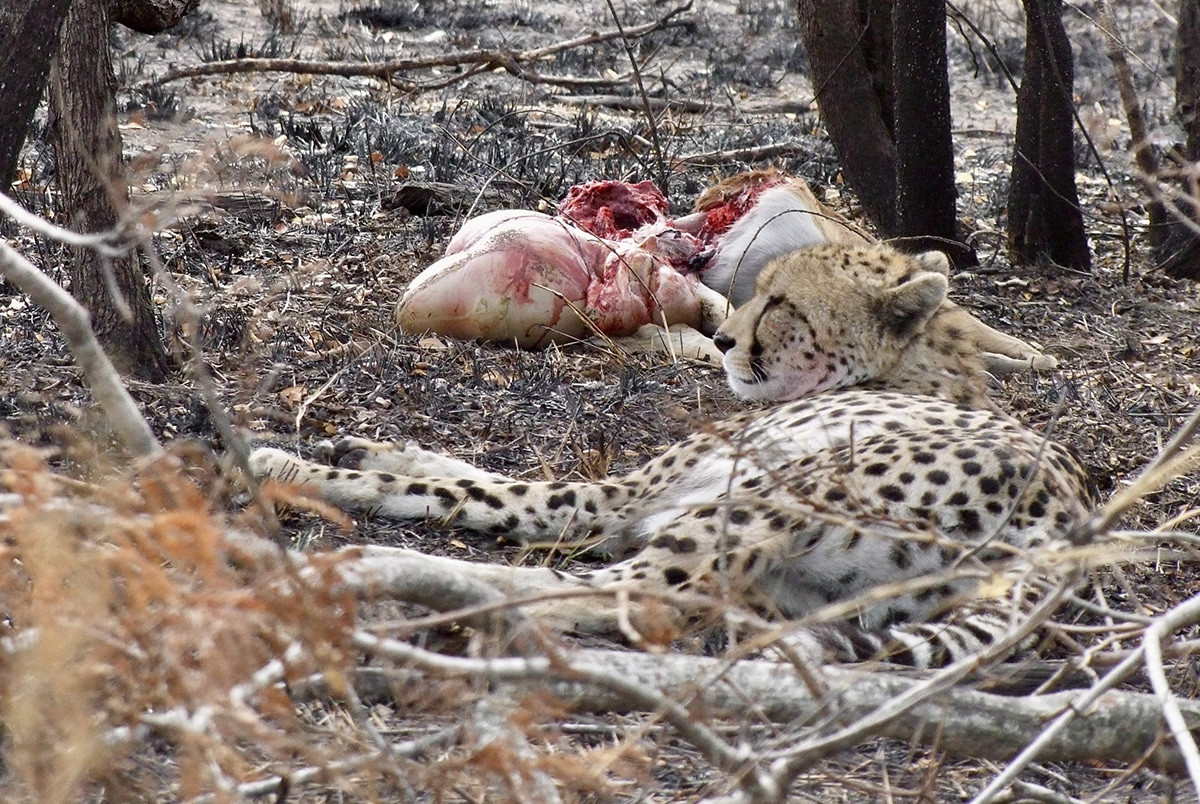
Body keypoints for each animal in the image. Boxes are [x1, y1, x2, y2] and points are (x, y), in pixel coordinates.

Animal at [250, 242, 1096, 667]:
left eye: (782, 304)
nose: (721, 339)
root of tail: (1065, 533)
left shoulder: (611, 504)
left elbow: (481, 495)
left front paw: (295, 468)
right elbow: (468, 471)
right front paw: (368, 444)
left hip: (775, 493)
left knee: (605, 591)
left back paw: (382, 576)